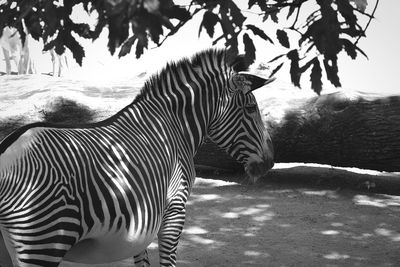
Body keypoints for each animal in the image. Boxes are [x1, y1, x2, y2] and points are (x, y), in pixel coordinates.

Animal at [0, 48, 276, 267]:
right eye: (251, 108)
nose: (269, 162)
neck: (173, 128)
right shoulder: (175, 209)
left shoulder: (142, 221)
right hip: (44, 240)